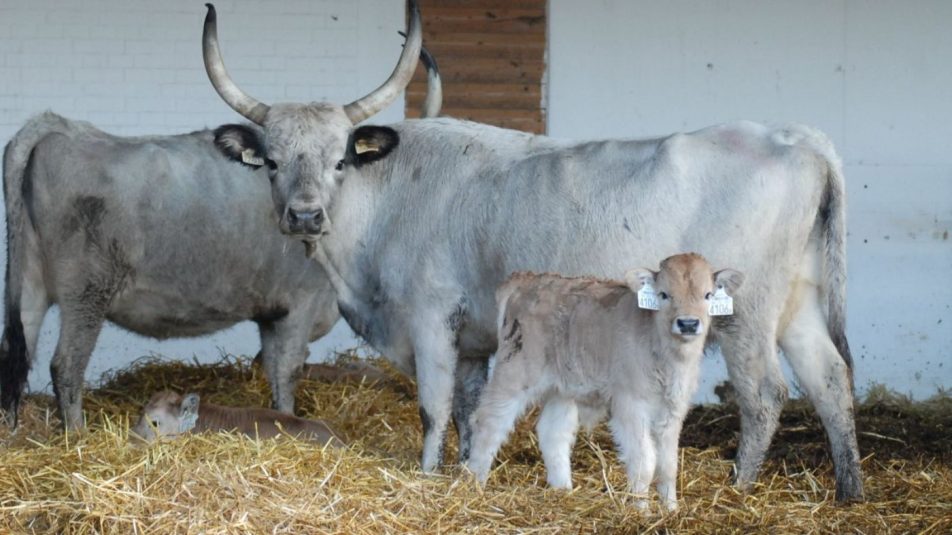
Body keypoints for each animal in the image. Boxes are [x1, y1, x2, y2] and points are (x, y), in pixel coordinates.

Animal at [0, 45, 444, 432]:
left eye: (340, 162)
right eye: (272, 162)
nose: (305, 217)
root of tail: (60, 127)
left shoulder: (272, 311)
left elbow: (269, 367)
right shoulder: (299, 305)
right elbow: (287, 372)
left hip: (30, 283)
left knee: (16, 353)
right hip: (86, 292)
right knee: (66, 366)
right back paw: (77, 437)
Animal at [466, 253, 744, 512]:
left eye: (708, 295)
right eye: (664, 294)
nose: (688, 323)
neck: (667, 358)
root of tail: (526, 279)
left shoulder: (674, 409)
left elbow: (668, 465)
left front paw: (671, 510)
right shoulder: (631, 404)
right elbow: (645, 462)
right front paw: (641, 511)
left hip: (561, 386)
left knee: (553, 432)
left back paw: (563, 490)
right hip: (515, 371)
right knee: (488, 423)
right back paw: (475, 484)